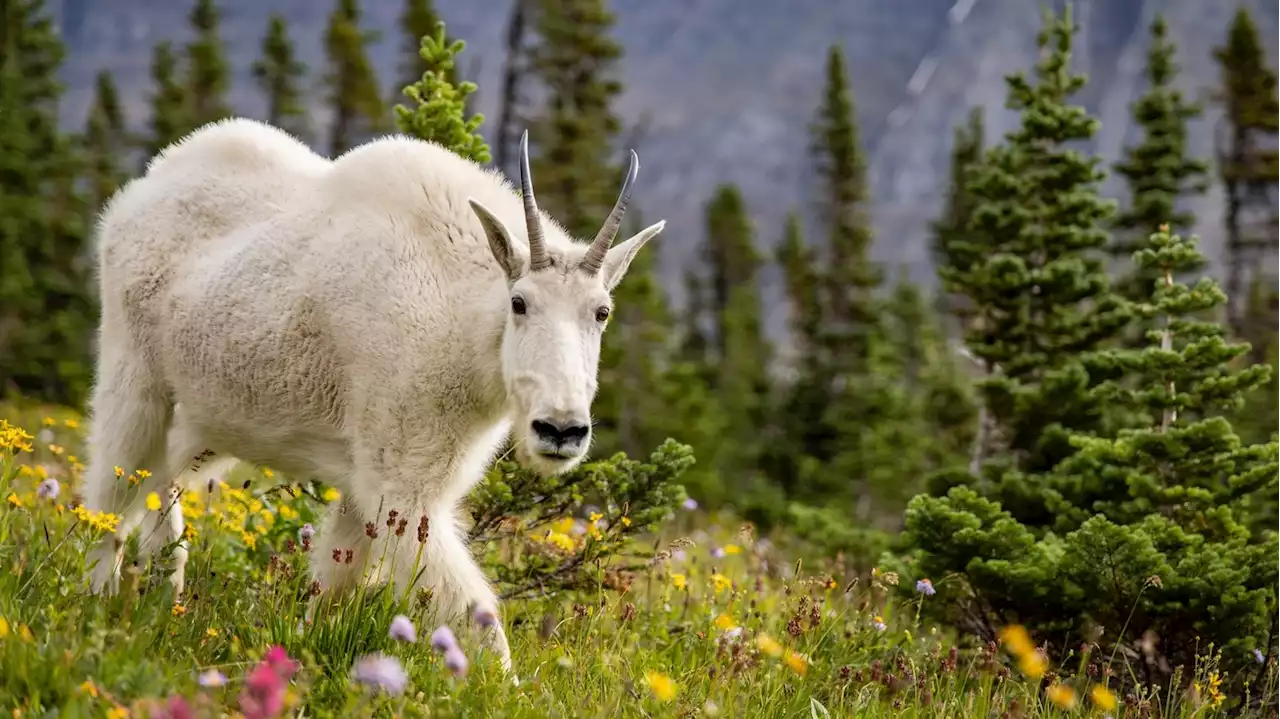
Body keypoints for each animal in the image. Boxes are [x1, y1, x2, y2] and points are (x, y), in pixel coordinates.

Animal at [80, 114, 665, 670]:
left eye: (602, 312)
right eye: (519, 303)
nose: (561, 429)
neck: (461, 319)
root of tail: (139, 191)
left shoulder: (368, 483)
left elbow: (332, 585)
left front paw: (302, 655)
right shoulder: (402, 482)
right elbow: (475, 614)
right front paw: (507, 689)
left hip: (209, 418)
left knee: (162, 483)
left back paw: (162, 597)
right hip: (134, 374)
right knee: (111, 492)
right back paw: (92, 605)